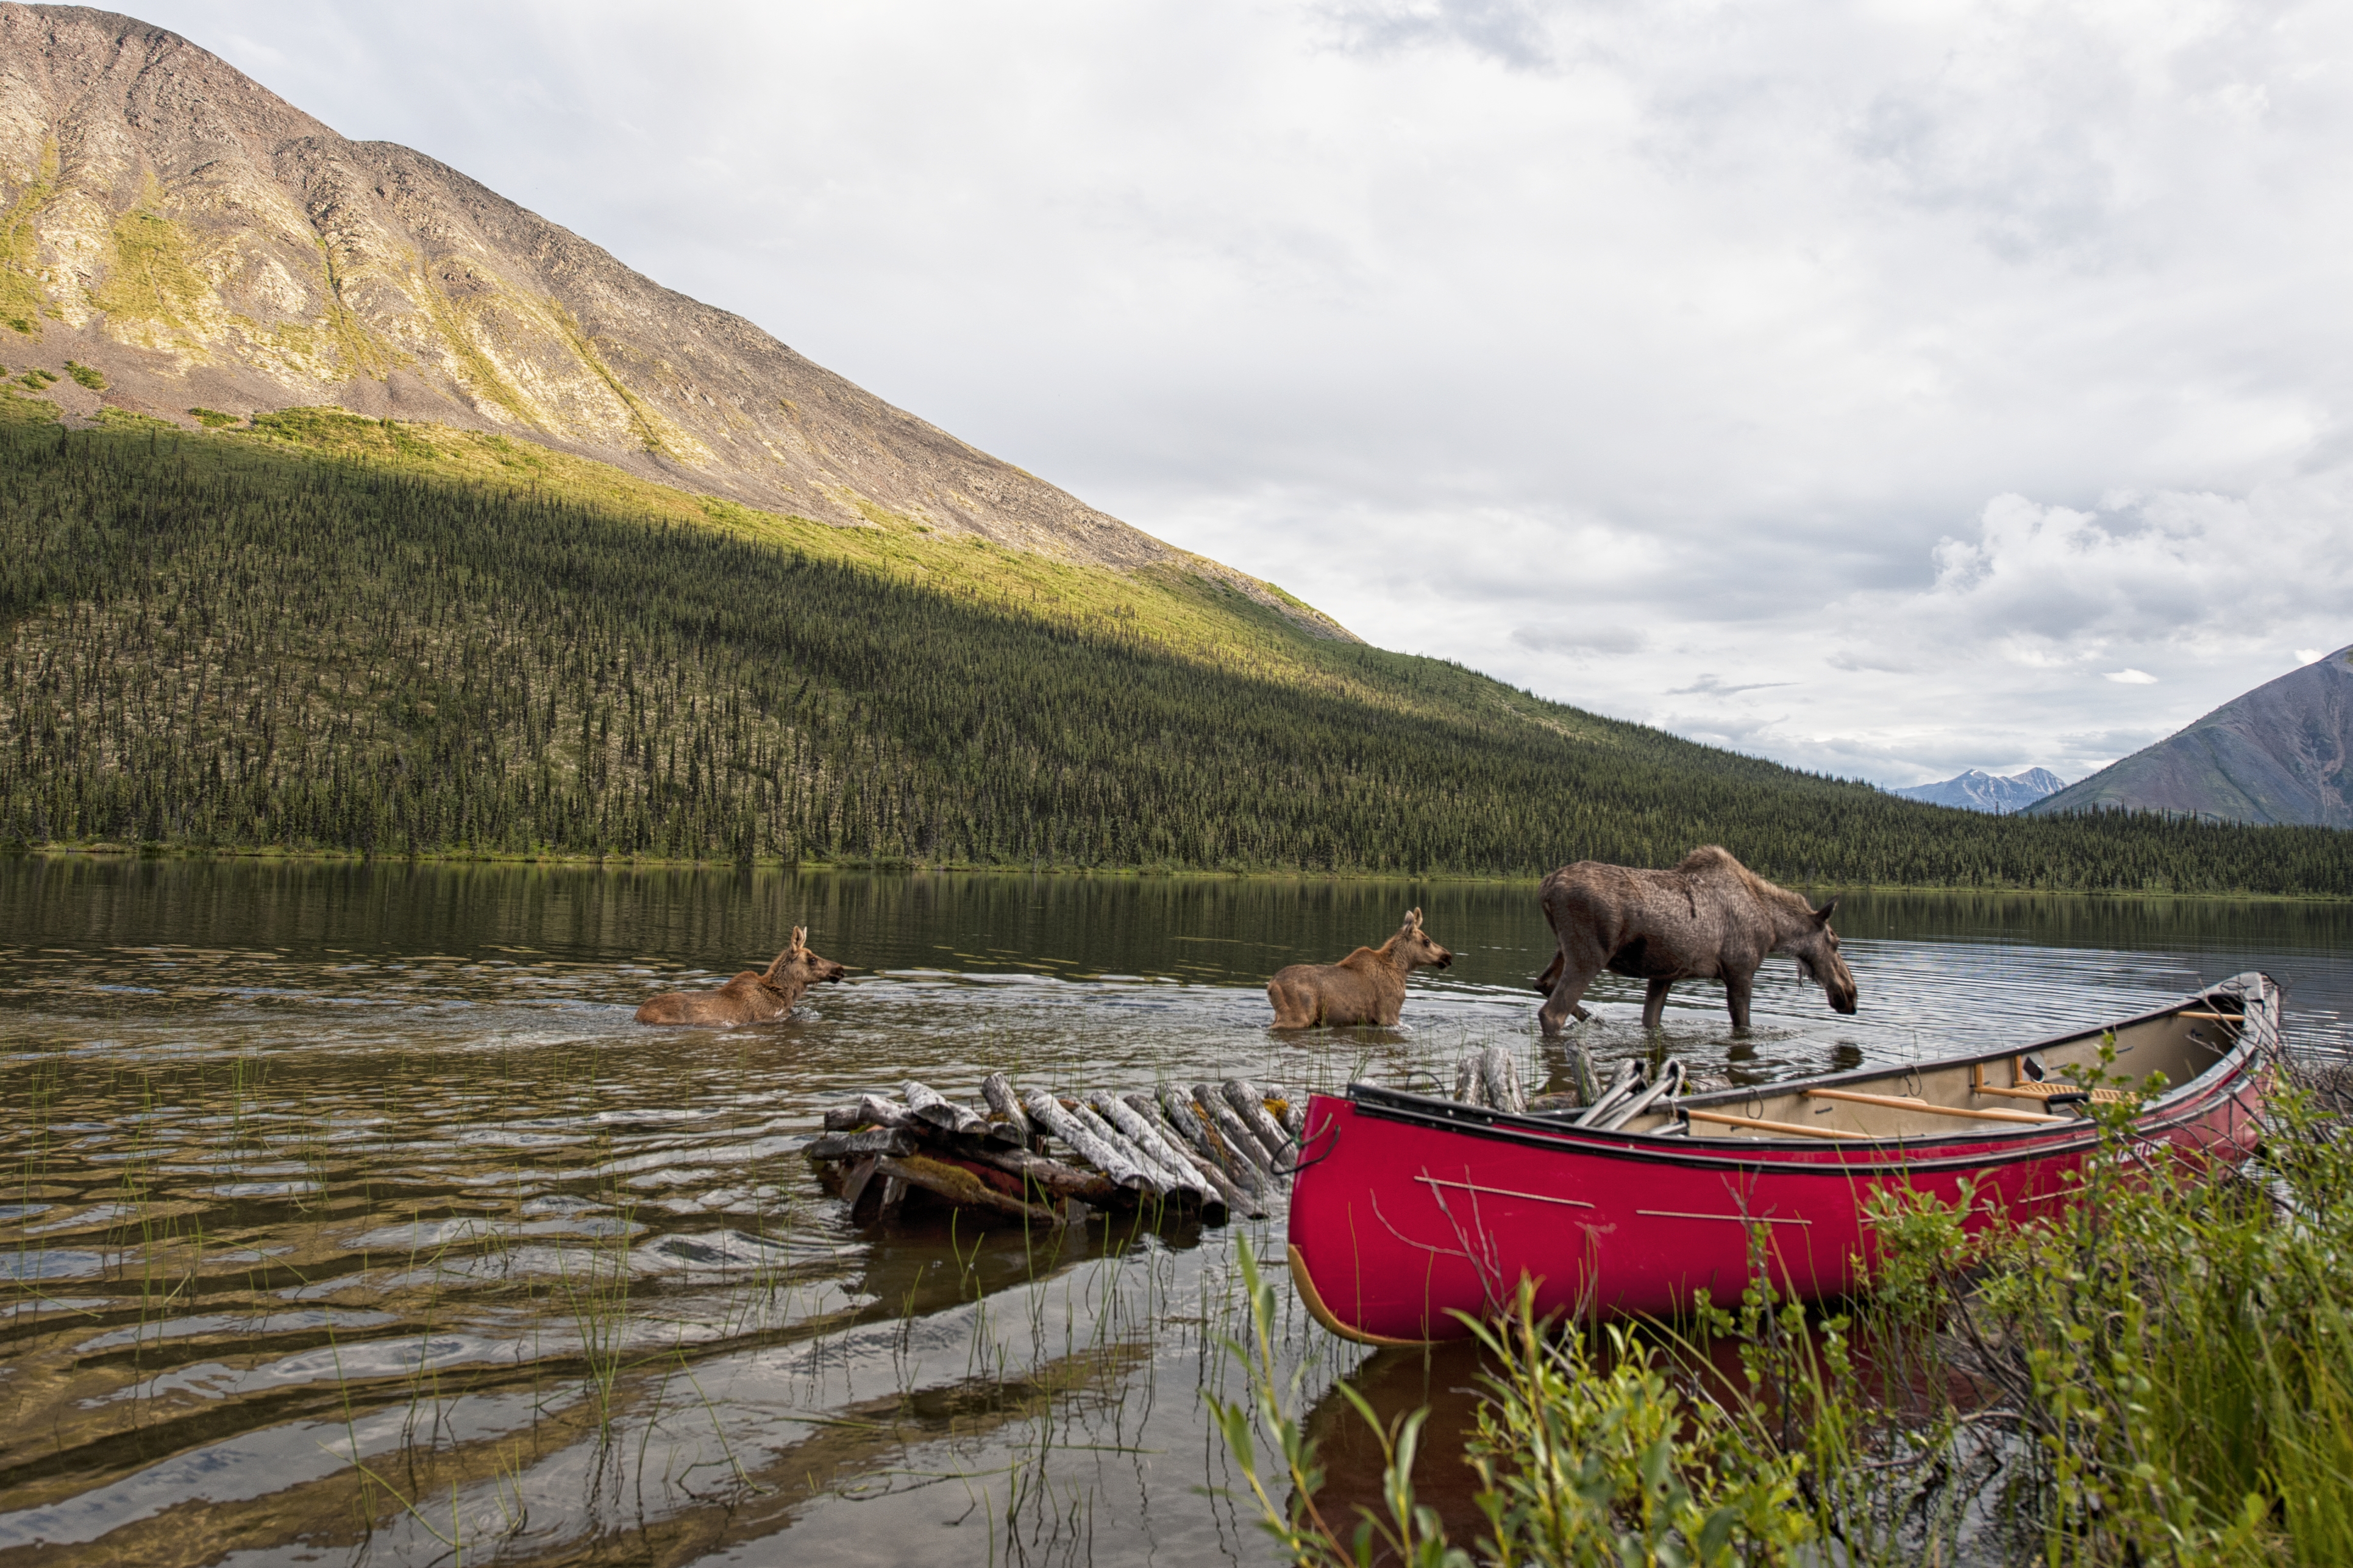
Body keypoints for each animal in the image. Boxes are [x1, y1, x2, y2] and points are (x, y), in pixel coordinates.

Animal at [1270, 907, 1449, 1029]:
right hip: (1296, 1016)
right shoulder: (1388, 1013)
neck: (1401, 970)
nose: (1447, 957)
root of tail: (1271, 986)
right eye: (1427, 941)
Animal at [1534, 851, 1864, 1034]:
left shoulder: (1663, 975)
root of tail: (1546, 887)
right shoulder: (1740, 971)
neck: (1774, 930)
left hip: (1564, 950)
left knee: (1542, 983)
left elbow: (1651, 1021)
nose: (1851, 995)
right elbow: (1744, 1026)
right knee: (1551, 1013)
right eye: (1835, 942)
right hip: (1589, 955)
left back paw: (1592, 1018)